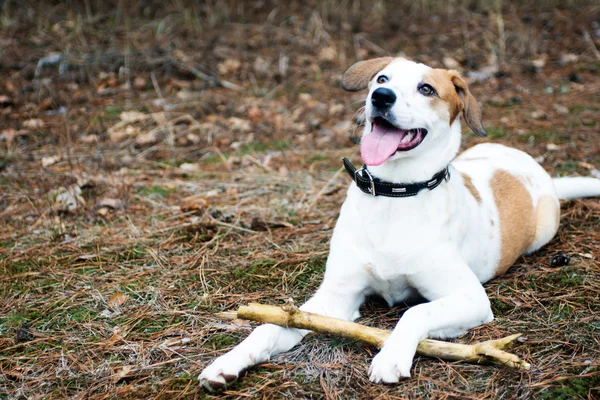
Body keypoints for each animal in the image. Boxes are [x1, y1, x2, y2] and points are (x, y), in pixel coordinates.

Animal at [199, 57, 600, 390]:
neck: (394, 195)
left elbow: (415, 310)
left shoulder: (471, 298)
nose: (381, 97)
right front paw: (230, 360)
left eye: (426, 89)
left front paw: (390, 356)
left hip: (543, 229)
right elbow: (274, 324)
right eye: (382, 78)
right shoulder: (335, 298)